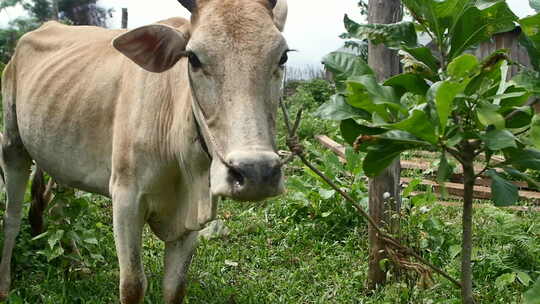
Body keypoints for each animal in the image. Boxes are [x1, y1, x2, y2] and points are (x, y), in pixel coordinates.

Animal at [0, 0, 288, 302]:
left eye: (282, 57)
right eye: (193, 58)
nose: (257, 173)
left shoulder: (189, 221)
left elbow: (175, 288)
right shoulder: (126, 200)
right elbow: (133, 285)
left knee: (59, 205)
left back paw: (76, 265)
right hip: (12, 144)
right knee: (12, 217)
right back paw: (5, 283)